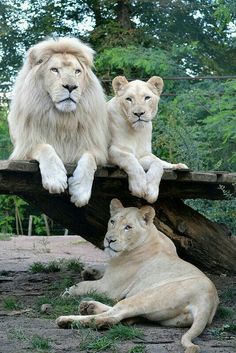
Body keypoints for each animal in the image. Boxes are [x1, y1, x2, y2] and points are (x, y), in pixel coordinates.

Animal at [7, 37, 109, 206]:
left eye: (77, 71)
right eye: (54, 70)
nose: (71, 86)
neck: (62, 120)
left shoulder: (95, 149)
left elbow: (89, 159)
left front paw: (80, 192)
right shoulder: (23, 148)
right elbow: (45, 148)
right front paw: (56, 180)